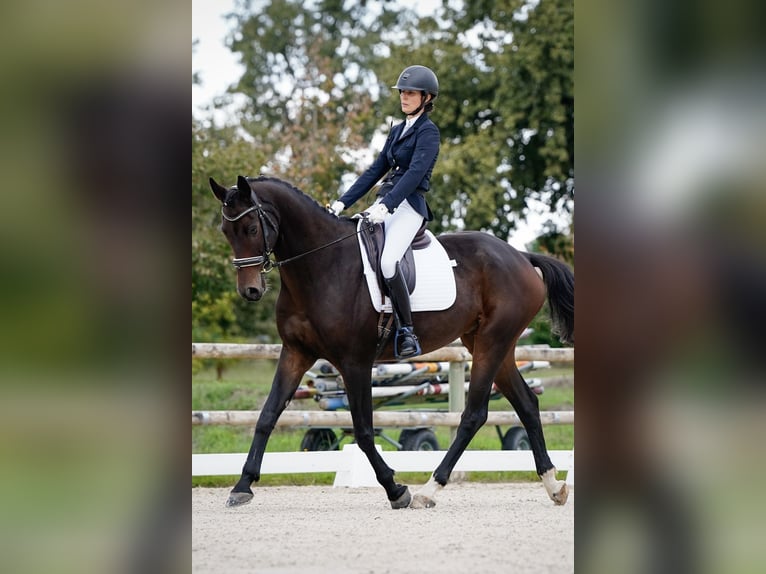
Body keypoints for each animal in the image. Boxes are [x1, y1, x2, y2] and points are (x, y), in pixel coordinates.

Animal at [209, 175, 574, 509]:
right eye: (226, 231)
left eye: (251, 229)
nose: (250, 290)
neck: (321, 267)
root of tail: (521, 256)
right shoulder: (296, 353)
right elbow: (267, 415)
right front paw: (242, 486)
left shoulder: (355, 362)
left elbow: (364, 431)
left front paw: (396, 489)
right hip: (491, 344)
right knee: (527, 404)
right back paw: (554, 486)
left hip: (492, 343)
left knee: (474, 414)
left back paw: (430, 489)